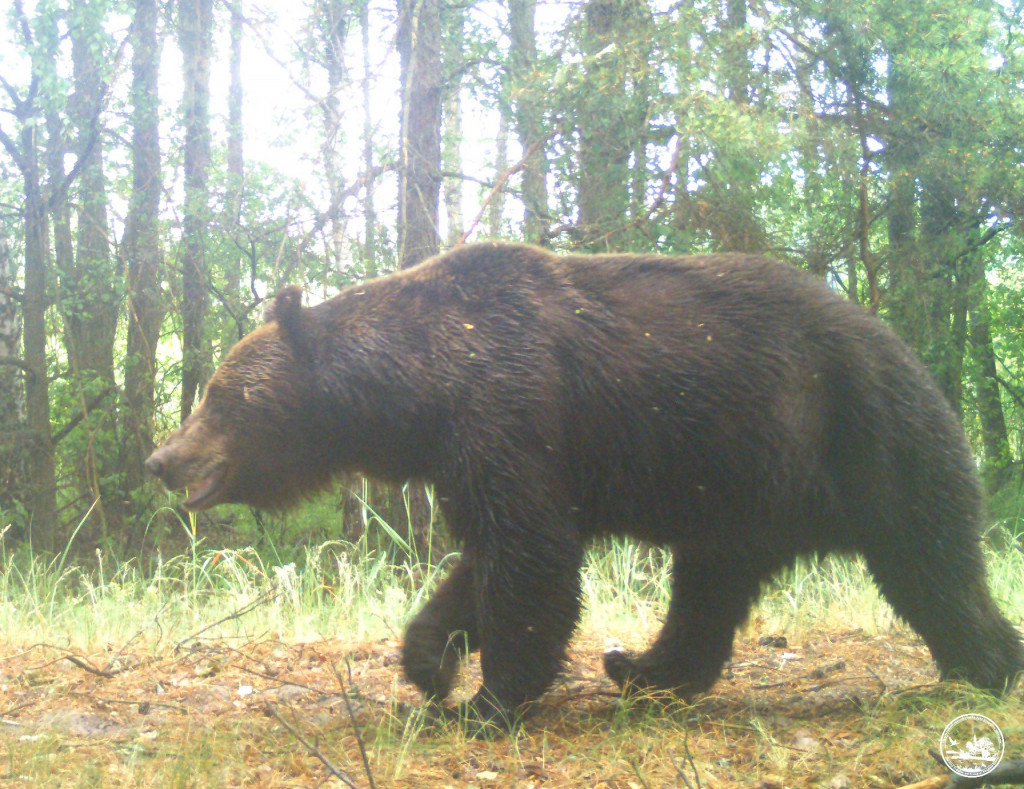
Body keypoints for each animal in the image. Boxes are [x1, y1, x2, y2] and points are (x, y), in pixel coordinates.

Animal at [146, 243, 1024, 732]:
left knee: (931, 559)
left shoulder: (512, 408)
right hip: (740, 491)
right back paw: (637, 667)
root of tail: (905, 349)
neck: (422, 386)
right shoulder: (468, 453)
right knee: (708, 592)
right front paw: (431, 662)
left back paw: (989, 663)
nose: (162, 457)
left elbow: (530, 563)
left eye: (219, 397)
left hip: (867, 438)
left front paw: (489, 703)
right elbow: (485, 560)